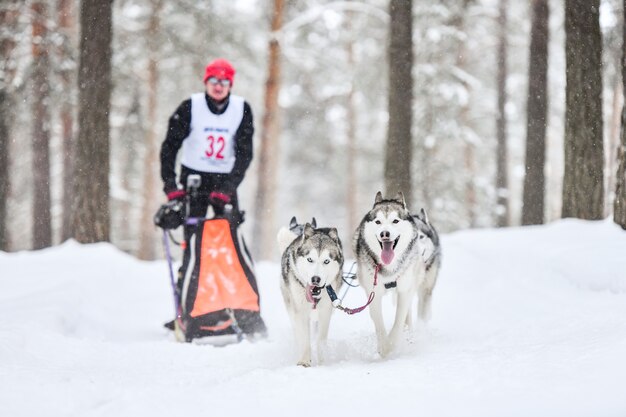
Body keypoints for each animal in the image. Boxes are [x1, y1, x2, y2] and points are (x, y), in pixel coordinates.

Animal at [276, 223, 342, 366]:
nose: (315, 279)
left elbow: (320, 340)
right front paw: (304, 361)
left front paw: (322, 362)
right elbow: (305, 339)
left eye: (326, 261)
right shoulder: (300, 311)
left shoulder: (325, 312)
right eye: (310, 259)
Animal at [354, 190, 436, 356]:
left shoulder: (404, 290)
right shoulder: (373, 293)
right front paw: (384, 346)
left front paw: (392, 344)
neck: (389, 269)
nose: (384, 234)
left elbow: (399, 320)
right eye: (378, 222)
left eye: (395, 221)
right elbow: (378, 322)